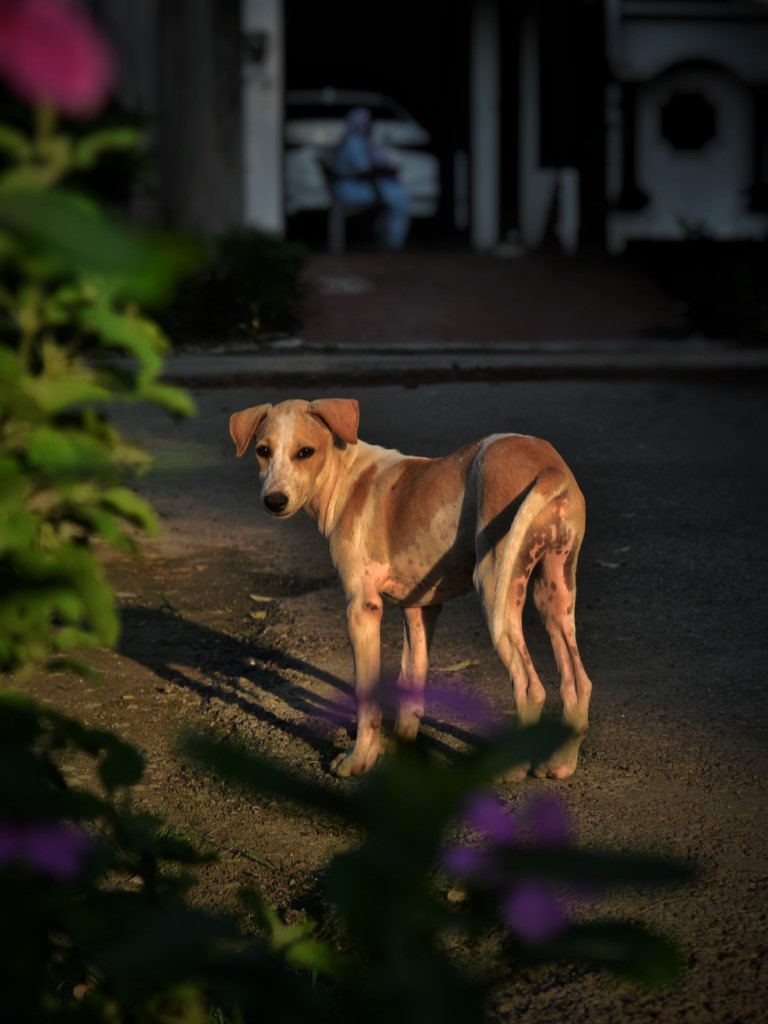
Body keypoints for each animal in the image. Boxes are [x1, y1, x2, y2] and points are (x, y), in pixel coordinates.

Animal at [229, 398, 593, 780]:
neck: (347, 479)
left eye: (305, 452)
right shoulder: (420, 610)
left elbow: (367, 697)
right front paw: (400, 745)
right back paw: (561, 762)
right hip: (553, 593)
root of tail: (548, 465)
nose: (274, 501)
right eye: (263, 451)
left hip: (496, 585)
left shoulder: (362, 609)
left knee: (530, 687)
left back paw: (512, 767)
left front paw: (359, 760)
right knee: (577, 683)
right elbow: (411, 677)